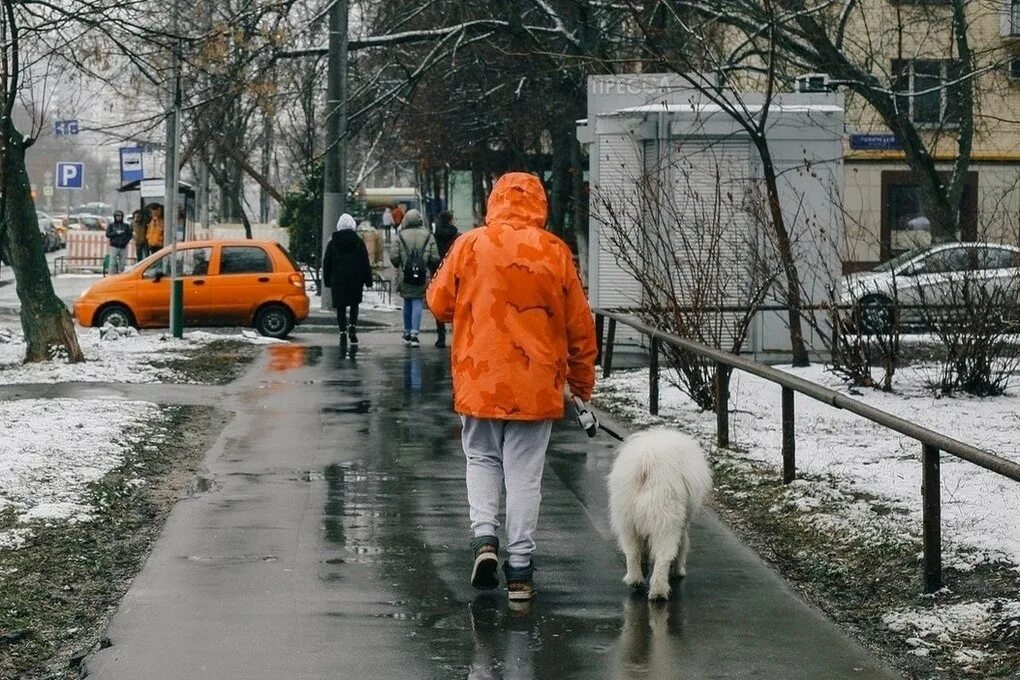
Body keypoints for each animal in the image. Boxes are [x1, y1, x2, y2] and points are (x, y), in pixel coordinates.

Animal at [607, 428, 714, 599]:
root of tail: (647, 467)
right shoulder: (681, 526)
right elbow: (682, 546)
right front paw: (678, 571)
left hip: (628, 523)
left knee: (632, 553)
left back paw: (635, 579)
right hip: (666, 525)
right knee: (663, 557)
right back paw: (659, 591)